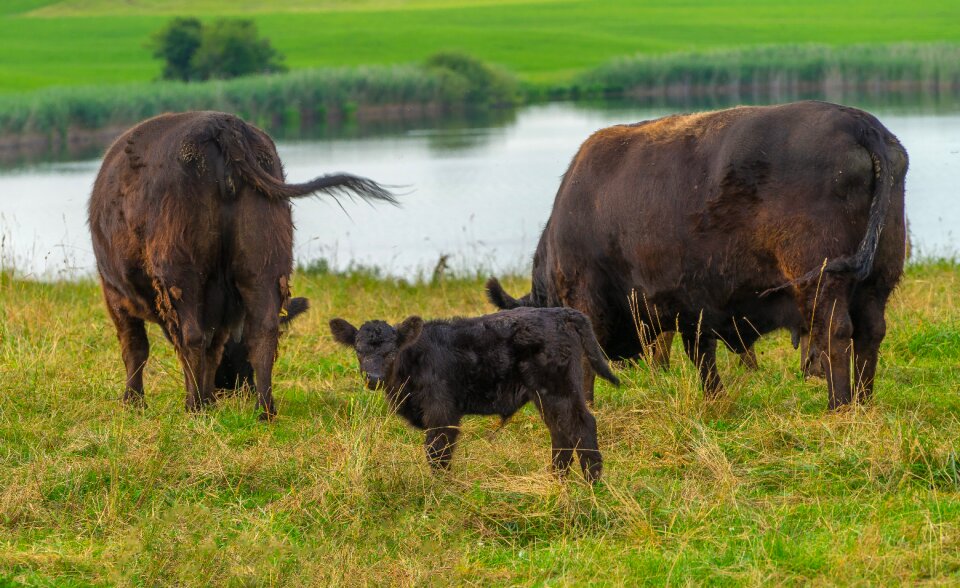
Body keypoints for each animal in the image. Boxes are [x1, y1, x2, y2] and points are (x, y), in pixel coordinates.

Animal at [86, 111, 394, 418]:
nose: (235, 387)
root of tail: (221, 124)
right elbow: (212, 348)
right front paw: (206, 397)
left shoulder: (114, 293)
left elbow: (136, 346)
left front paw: (134, 401)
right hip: (264, 263)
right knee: (263, 331)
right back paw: (263, 408)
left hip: (181, 271)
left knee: (191, 336)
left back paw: (195, 406)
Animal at [326, 306, 620, 480]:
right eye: (359, 350)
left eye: (390, 352)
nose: (373, 378)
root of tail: (560, 312)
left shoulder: (442, 411)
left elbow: (438, 452)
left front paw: (441, 491)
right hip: (545, 394)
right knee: (561, 432)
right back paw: (558, 482)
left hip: (561, 388)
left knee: (581, 426)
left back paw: (592, 485)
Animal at [488, 101, 908, 408]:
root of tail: (861, 124)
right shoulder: (693, 307)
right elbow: (702, 357)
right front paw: (715, 399)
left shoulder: (587, 300)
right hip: (877, 280)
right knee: (870, 333)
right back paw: (864, 402)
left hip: (821, 279)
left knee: (836, 333)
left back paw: (840, 406)